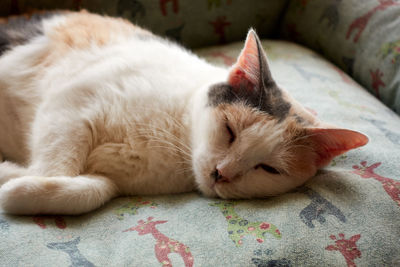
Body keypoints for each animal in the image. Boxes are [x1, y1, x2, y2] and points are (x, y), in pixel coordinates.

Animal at [0, 11, 368, 216]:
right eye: (229, 130)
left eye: (268, 168)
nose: (222, 173)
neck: (178, 136)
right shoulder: (70, 103)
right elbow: (57, 166)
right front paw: (22, 178)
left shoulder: (116, 180)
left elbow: (95, 189)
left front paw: (17, 185)